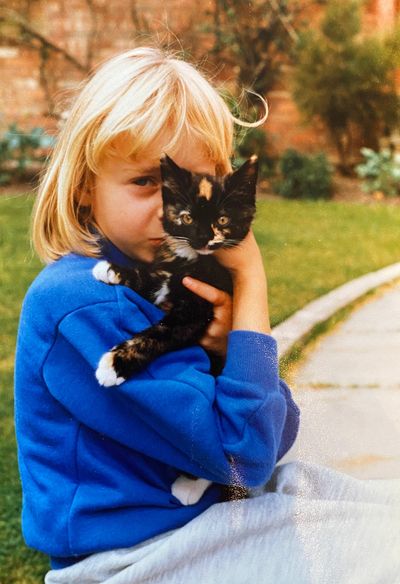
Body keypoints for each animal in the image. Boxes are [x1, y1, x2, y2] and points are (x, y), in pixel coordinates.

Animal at [92, 154, 258, 506]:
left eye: (222, 219)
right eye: (186, 217)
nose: (204, 238)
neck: (191, 261)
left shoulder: (195, 313)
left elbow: (160, 333)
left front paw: (115, 364)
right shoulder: (165, 275)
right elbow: (151, 278)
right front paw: (112, 270)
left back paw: (189, 487)